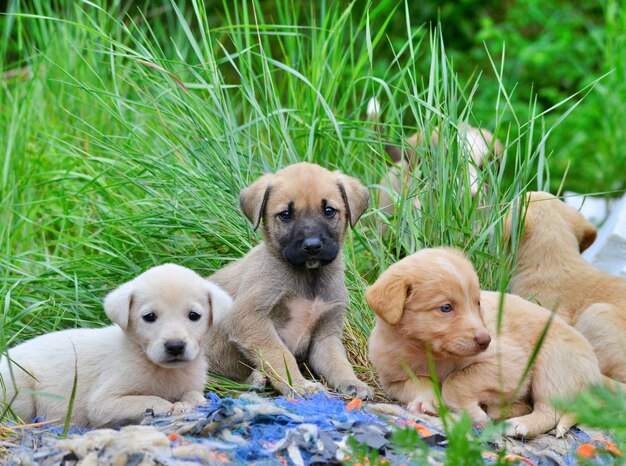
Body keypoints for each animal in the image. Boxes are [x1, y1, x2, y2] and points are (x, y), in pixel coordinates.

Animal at [0, 264, 232, 428]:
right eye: (149, 317)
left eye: (194, 315)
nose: (175, 346)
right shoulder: (104, 402)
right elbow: (151, 399)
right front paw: (172, 407)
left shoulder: (192, 384)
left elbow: (194, 395)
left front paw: (190, 403)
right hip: (18, 385)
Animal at [205, 162, 372, 398]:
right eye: (285, 214)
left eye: (329, 211)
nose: (312, 246)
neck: (308, 278)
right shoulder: (249, 319)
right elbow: (280, 356)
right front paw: (300, 385)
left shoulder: (326, 335)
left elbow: (338, 363)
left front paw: (352, 382)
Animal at [366, 248, 616, 436]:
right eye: (446, 308)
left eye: (477, 302)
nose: (486, 339)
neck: (427, 351)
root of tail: (595, 373)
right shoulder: (395, 380)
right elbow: (421, 382)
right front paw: (427, 403)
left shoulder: (509, 362)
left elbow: (456, 381)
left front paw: (472, 413)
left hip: (554, 362)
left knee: (550, 411)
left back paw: (520, 424)